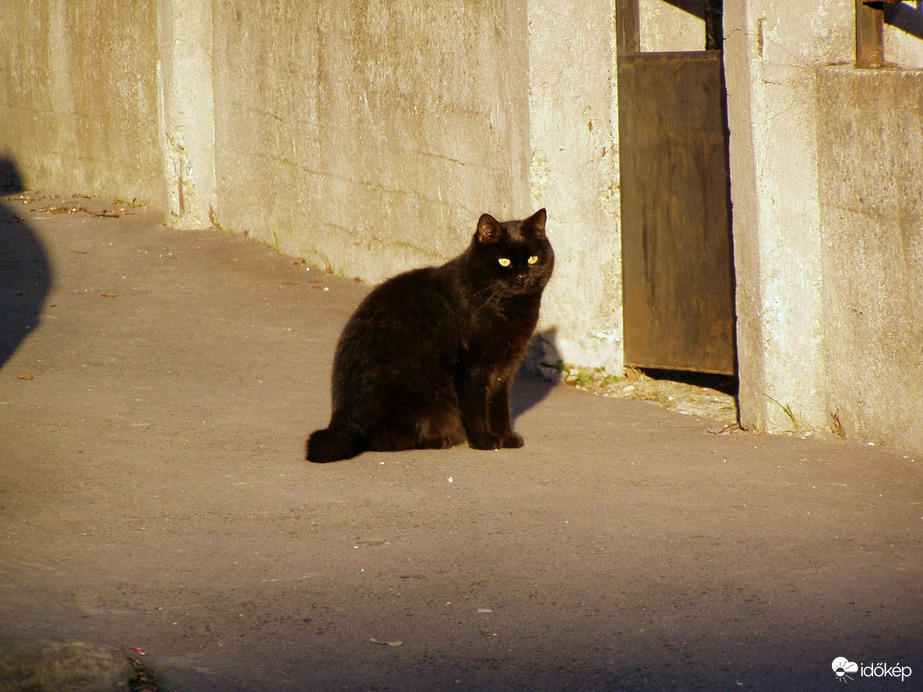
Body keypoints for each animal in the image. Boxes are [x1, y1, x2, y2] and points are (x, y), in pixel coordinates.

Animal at [308, 208, 556, 462]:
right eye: (503, 261)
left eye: (533, 259)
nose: (522, 277)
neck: (508, 308)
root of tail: (343, 421)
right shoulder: (473, 368)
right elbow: (476, 408)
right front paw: (484, 441)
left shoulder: (504, 368)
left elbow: (499, 407)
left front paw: (506, 437)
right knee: (382, 440)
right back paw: (439, 440)